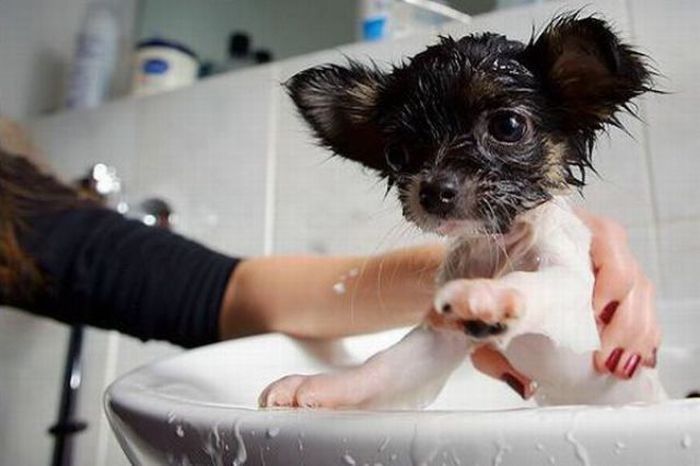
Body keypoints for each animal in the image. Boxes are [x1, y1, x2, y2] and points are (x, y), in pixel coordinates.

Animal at [260, 13, 664, 408]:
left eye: (508, 126)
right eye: (396, 154)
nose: (433, 191)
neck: (494, 247)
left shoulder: (580, 310)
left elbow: (532, 282)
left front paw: (488, 294)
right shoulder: (437, 341)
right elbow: (378, 368)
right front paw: (318, 386)